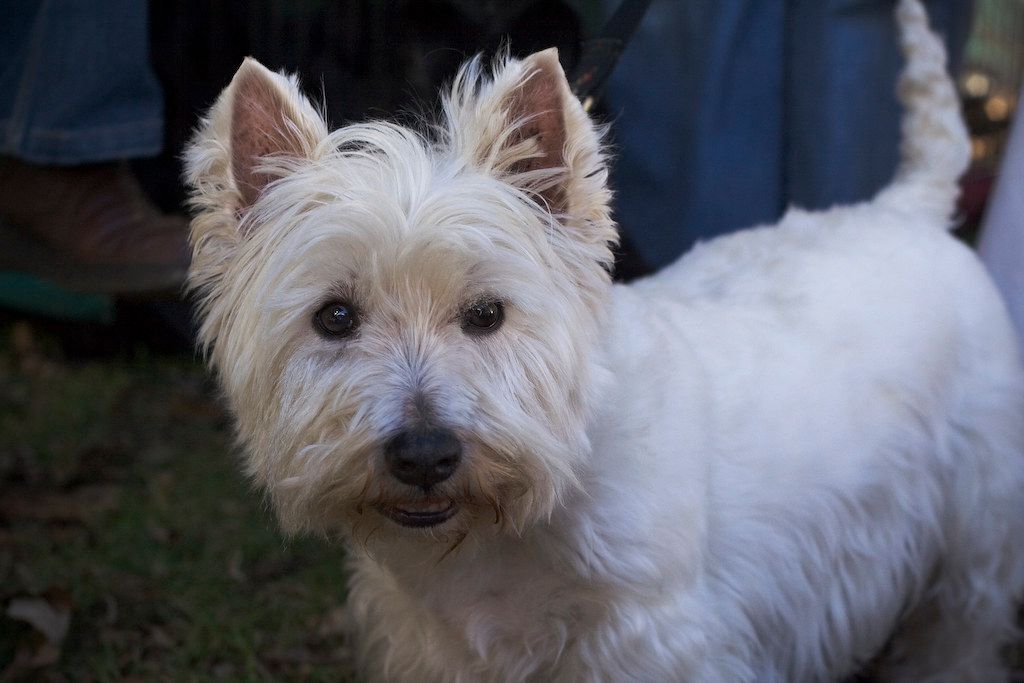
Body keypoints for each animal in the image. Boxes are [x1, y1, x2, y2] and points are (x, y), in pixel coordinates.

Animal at [186, 0, 1024, 679]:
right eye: (335, 317)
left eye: (487, 313)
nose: (424, 455)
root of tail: (909, 205)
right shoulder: (435, 644)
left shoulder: (660, 641)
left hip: (975, 526)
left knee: (964, 628)